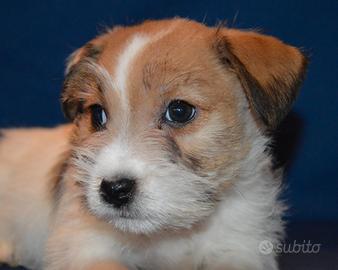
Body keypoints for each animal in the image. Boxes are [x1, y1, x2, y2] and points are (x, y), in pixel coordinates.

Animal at [0, 17, 308, 268]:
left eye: (180, 111)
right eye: (98, 114)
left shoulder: (241, 248)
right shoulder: (88, 247)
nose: (114, 190)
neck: (171, 233)